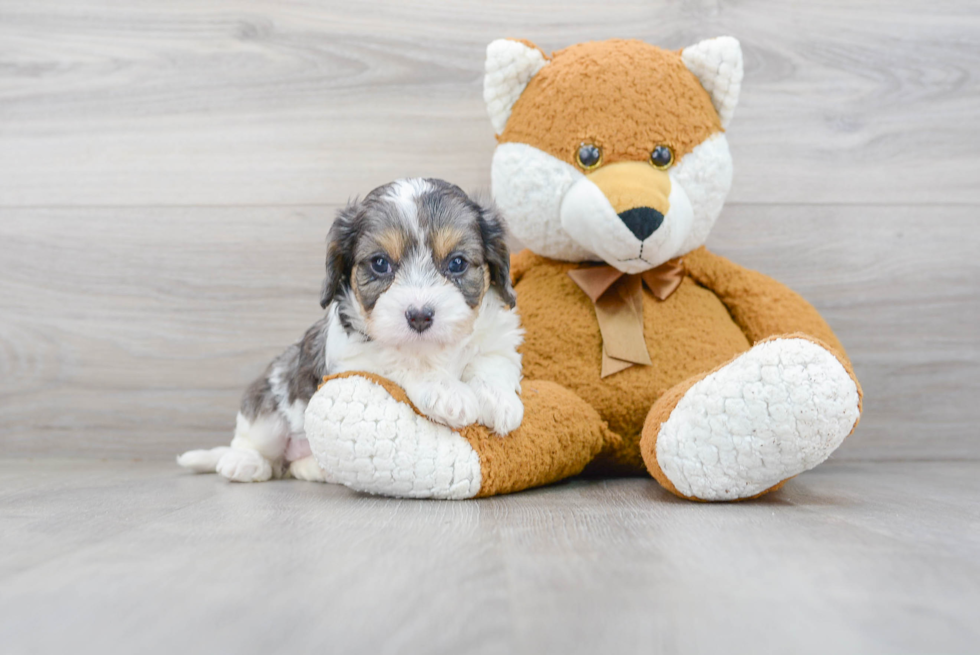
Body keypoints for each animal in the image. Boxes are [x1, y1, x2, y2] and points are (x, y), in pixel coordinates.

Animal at [179, 178, 524, 482]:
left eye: (457, 263)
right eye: (380, 263)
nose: (419, 316)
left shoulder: (497, 339)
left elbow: (489, 362)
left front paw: (499, 399)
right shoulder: (353, 358)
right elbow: (400, 360)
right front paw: (445, 390)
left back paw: (315, 470)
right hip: (269, 409)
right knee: (253, 442)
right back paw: (243, 462)